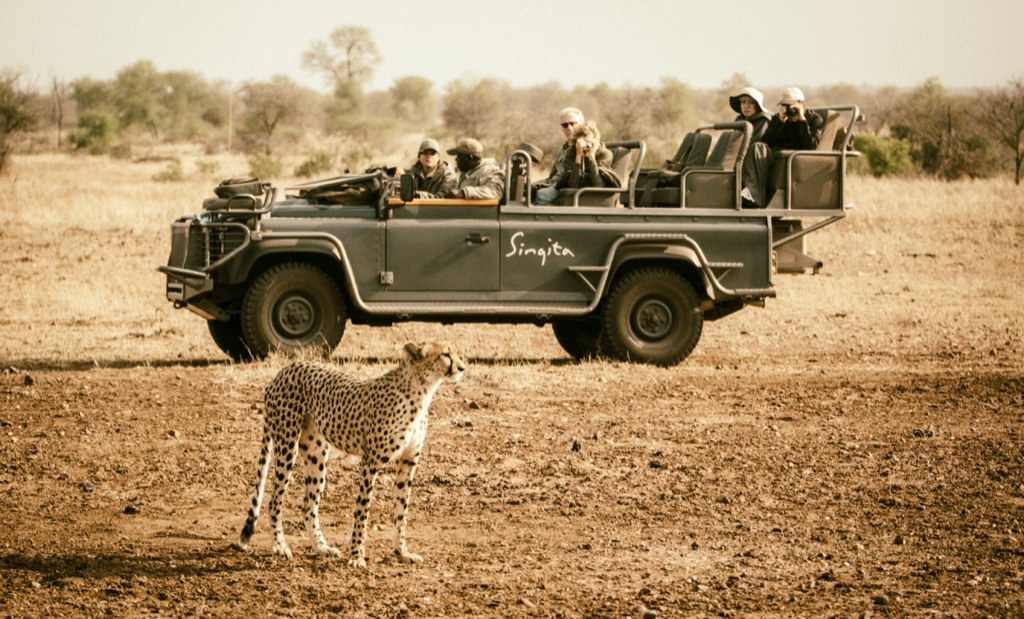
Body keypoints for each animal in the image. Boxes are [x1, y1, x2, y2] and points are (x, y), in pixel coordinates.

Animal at [235, 341, 465, 567]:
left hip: (316, 455)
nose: (462, 368)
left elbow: (402, 512)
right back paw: (280, 546)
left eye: (457, 352)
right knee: (275, 501)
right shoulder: (370, 462)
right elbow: (362, 510)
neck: (422, 390)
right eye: (446, 354)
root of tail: (286, 369)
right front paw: (356, 556)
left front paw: (402, 552)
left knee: (308, 505)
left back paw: (322, 547)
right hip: (286, 445)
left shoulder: (407, 463)